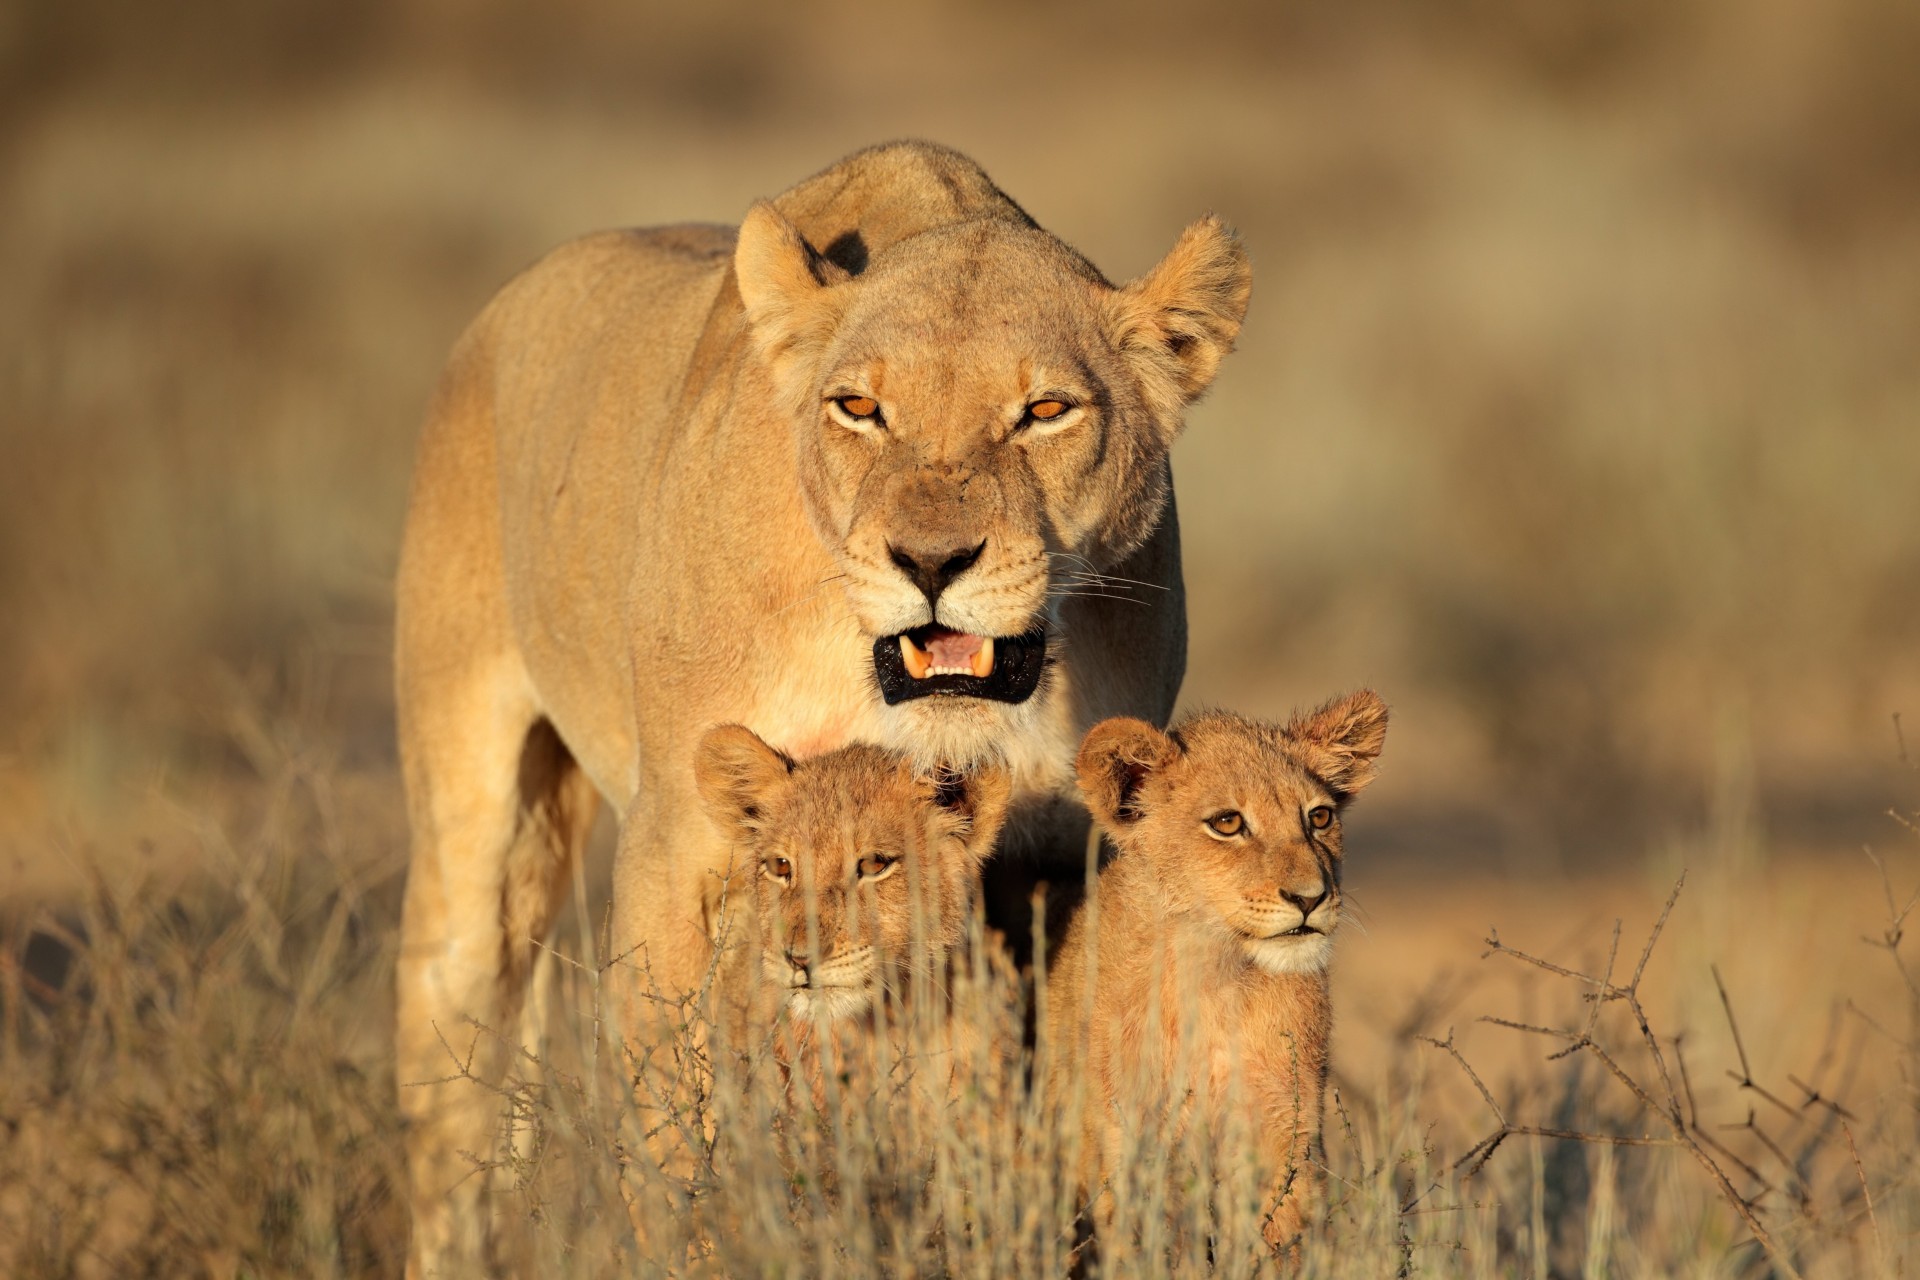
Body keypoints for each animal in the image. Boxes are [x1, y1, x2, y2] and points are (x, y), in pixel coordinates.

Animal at [392, 141, 1250, 1274]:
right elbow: (675, 1123)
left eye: (1045, 412)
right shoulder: (679, 843)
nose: (930, 562)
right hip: (473, 818)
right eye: (860, 409)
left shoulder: (1064, 862)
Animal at [1043, 691, 1388, 1258]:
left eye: (1319, 817)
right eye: (1227, 823)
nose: (1311, 897)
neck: (1215, 977)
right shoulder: (1129, 1139)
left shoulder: (1283, 1136)